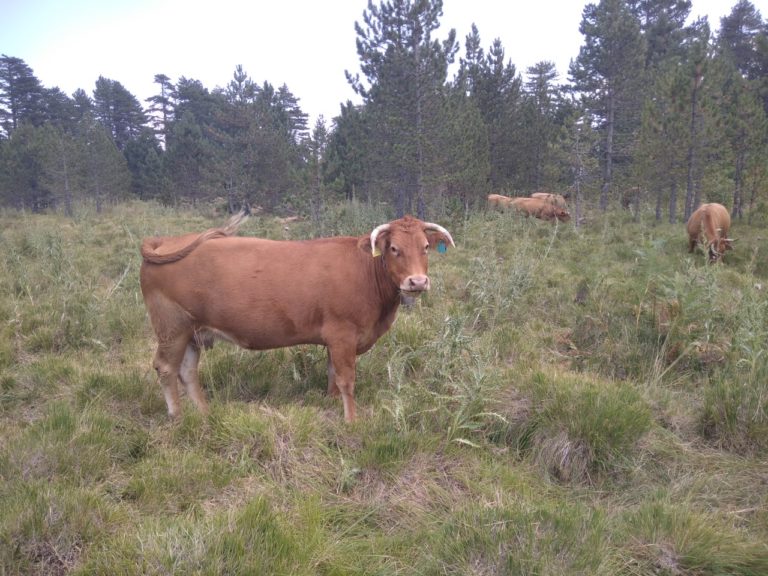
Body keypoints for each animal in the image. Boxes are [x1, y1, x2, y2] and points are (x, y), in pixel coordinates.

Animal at [140, 212, 452, 424]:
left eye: (425, 246)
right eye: (394, 248)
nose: (417, 281)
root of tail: (166, 240)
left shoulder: (334, 340)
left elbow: (332, 377)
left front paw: (331, 406)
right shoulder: (343, 335)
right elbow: (347, 380)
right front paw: (351, 421)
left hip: (193, 332)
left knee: (187, 371)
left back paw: (205, 414)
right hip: (172, 328)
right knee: (166, 368)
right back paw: (177, 416)